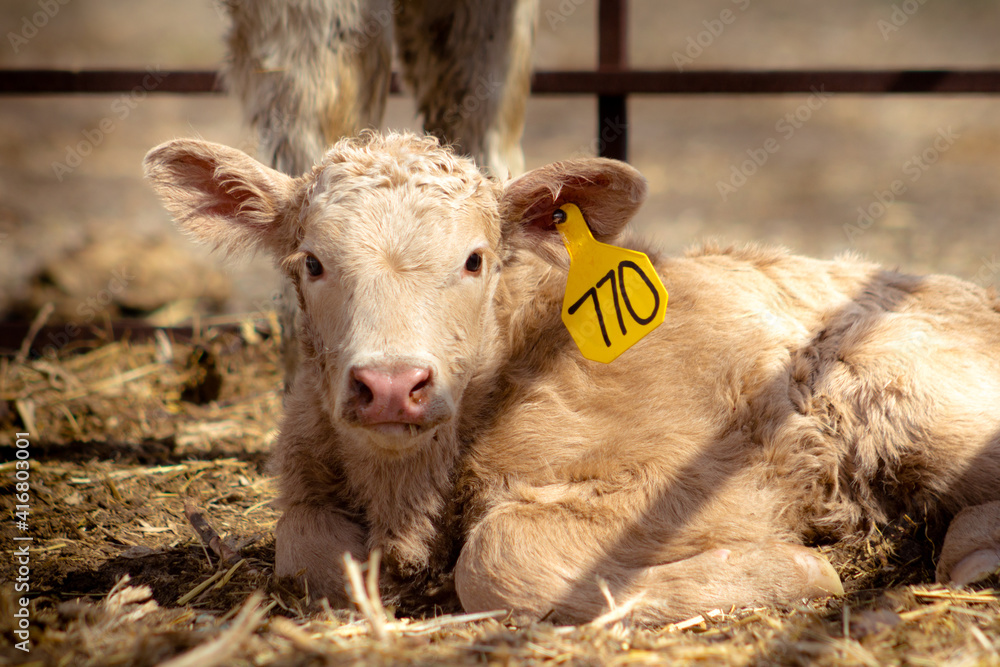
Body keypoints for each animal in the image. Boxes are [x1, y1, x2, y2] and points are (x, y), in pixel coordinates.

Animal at [144, 131, 1000, 624]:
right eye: (312, 262)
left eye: (475, 260)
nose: (390, 384)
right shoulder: (312, 484)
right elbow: (308, 548)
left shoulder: (714, 477)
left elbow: (498, 554)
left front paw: (794, 568)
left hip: (898, 384)